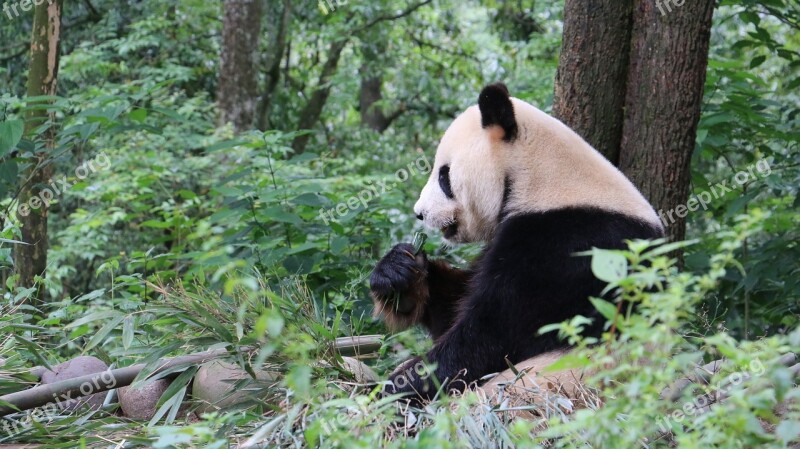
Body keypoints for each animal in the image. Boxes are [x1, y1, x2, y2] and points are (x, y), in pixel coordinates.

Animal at [372, 81, 664, 400]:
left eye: (444, 176)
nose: (420, 213)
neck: (543, 179)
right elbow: (453, 306)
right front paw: (399, 273)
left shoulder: (563, 249)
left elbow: (490, 337)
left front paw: (396, 387)